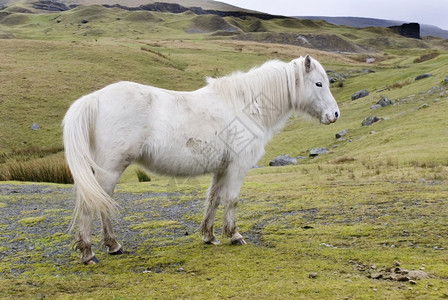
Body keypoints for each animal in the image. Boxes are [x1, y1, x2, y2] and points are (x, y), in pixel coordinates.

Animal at [62, 55, 340, 264]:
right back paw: (90, 252)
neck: (247, 106)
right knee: (92, 204)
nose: (334, 114)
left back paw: (112, 246)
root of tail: (94, 99)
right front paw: (234, 235)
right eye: (318, 84)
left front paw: (209, 236)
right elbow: (232, 200)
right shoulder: (237, 166)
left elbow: (213, 200)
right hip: (110, 169)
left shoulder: (221, 168)